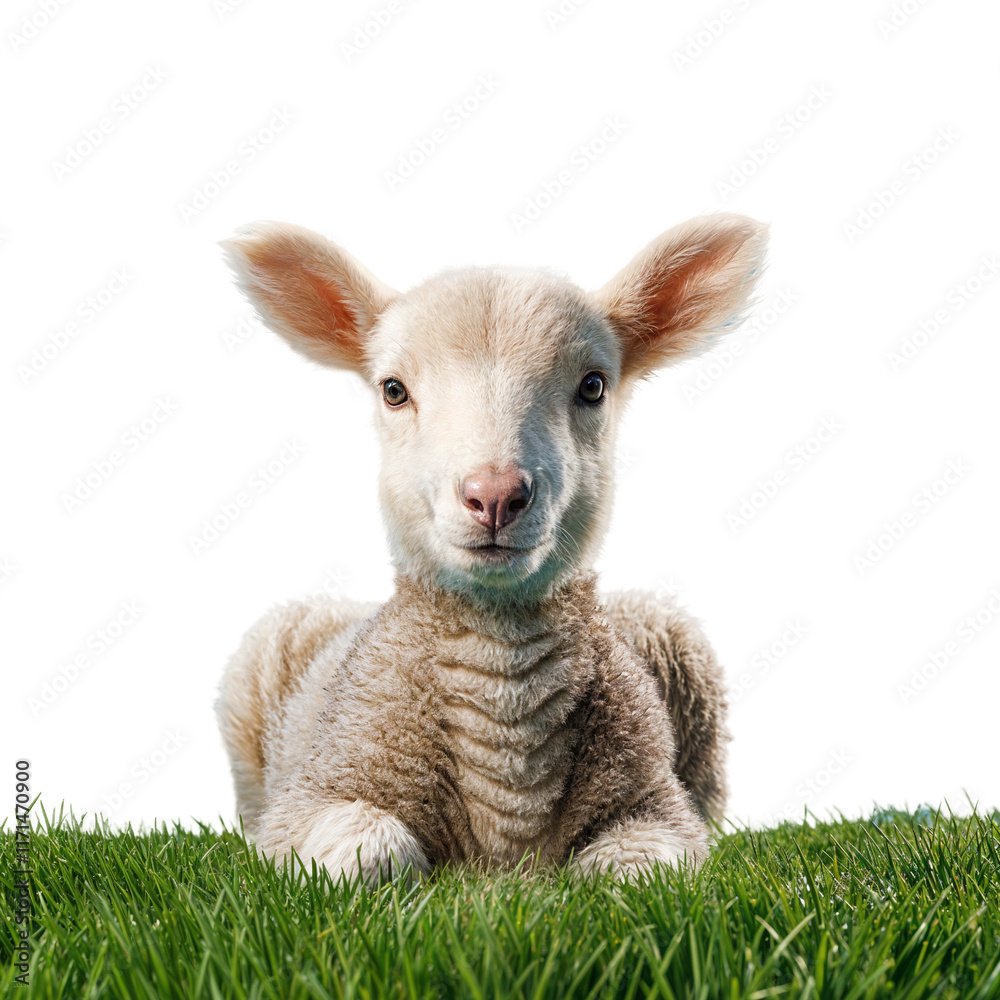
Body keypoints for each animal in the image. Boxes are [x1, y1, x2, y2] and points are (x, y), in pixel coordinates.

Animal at [216, 214, 767, 881]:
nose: (495, 495)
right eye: (393, 390)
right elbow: (372, 852)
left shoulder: (658, 806)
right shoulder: (311, 798)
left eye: (593, 386)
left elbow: (638, 872)